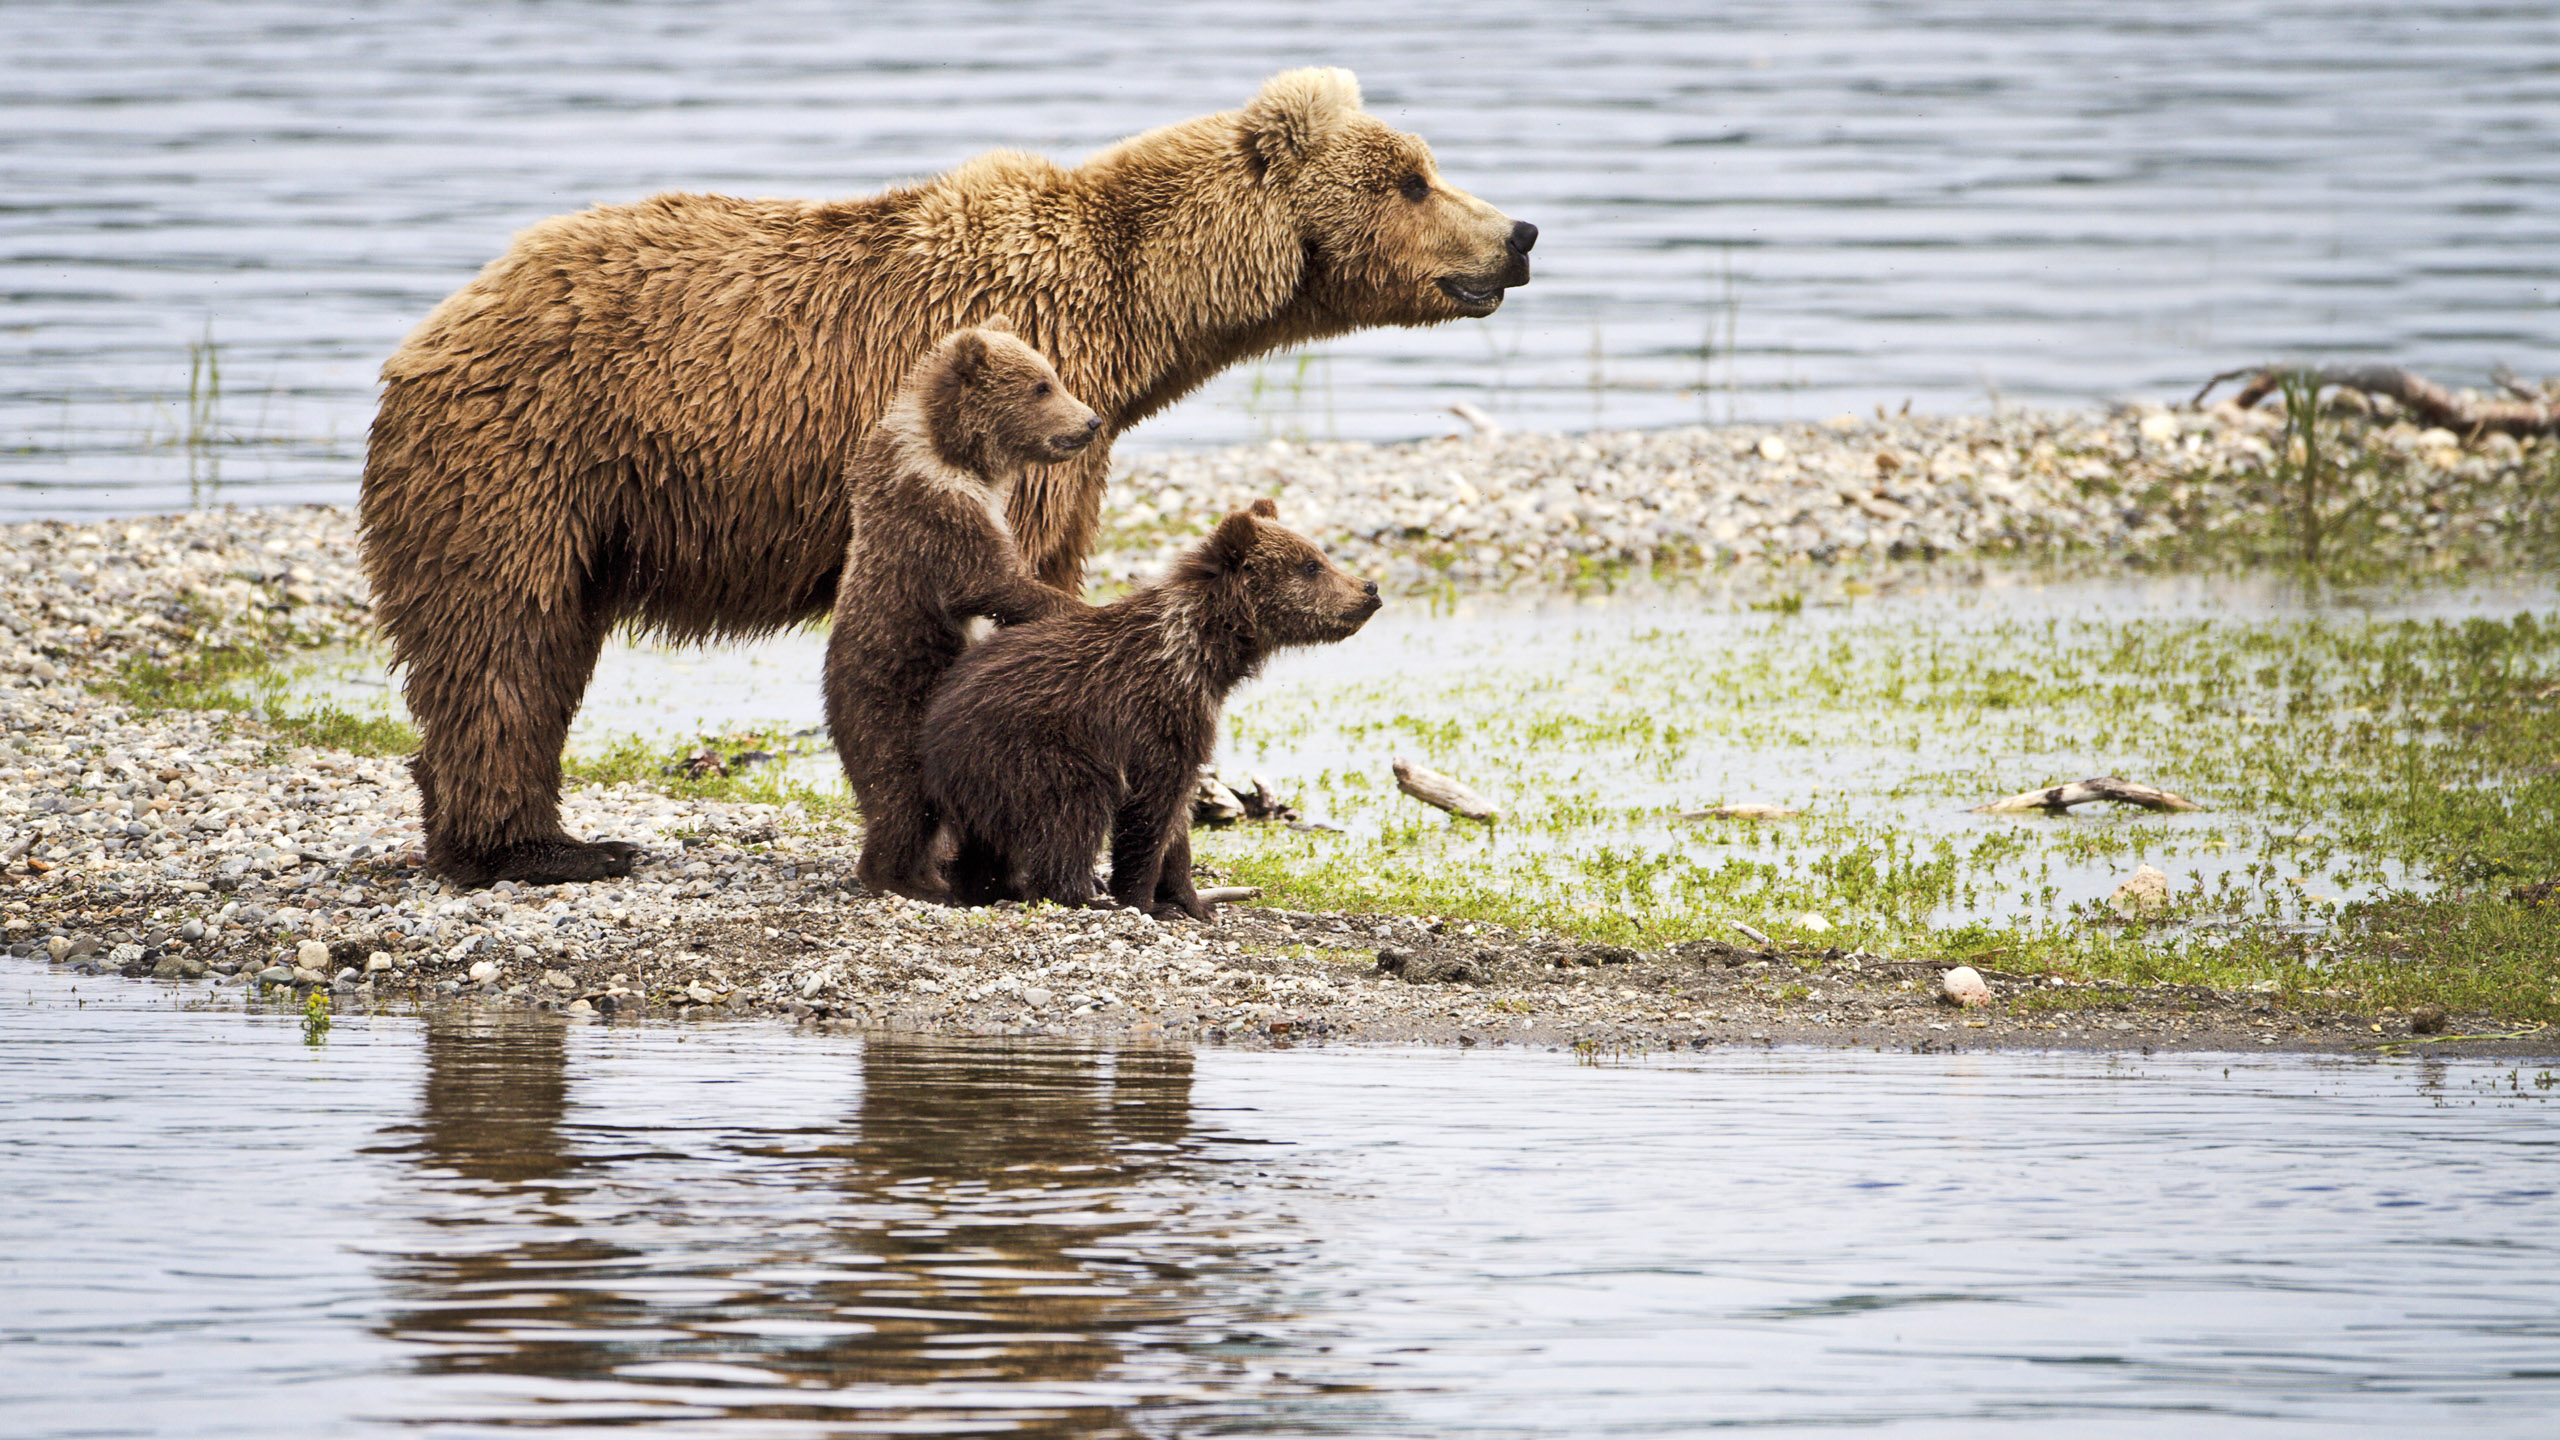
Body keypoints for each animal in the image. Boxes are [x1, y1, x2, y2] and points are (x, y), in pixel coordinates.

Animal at [355, 67, 1515, 881]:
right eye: (1414, 179)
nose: (1521, 234)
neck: (1138, 319)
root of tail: (430, 330)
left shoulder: (1079, 432)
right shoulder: (1034, 408)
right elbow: (1017, 585)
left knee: (530, 649)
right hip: (528, 458)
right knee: (505, 642)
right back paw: (539, 850)